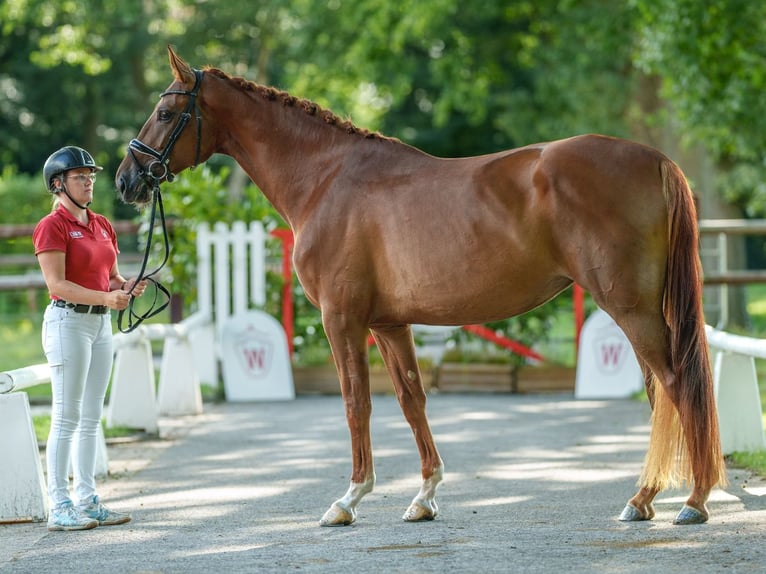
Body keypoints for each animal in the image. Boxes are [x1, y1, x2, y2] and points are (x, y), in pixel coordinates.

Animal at [117, 47, 728, 528]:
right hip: (637, 310)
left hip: (631, 307)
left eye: (166, 111)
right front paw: (425, 496)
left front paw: (348, 500)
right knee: (661, 392)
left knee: (678, 386)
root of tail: (655, 160)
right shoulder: (389, 323)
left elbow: (356, 403)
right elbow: (413, 401)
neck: (326, 180)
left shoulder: (342, 320)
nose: (126, 180)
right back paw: (643, 499)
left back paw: (692, 501)